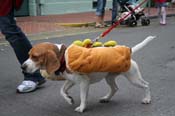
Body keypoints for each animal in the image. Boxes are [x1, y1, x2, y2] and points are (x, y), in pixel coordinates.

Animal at [22, 35, 156, 112]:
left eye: (35, 57)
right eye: (29, 55)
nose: (22, 67)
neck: (63, 57)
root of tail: (129, 50)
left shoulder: (83, 82)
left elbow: (82, 97)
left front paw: (82, 108)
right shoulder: (71, 81)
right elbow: (62, 91)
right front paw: (69, 99)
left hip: (133, 78)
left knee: (146, 85)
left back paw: (147, 99)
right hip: (109, 78)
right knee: (115, 88)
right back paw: (106, 98)